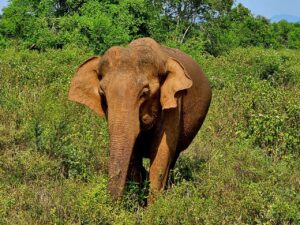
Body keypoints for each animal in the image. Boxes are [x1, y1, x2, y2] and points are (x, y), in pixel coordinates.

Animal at [69, 37, 212, 201]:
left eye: (145, 92)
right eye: (102, 93)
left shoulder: (174, 102)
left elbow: (162, 153)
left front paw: (154, 206)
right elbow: (134, 154)